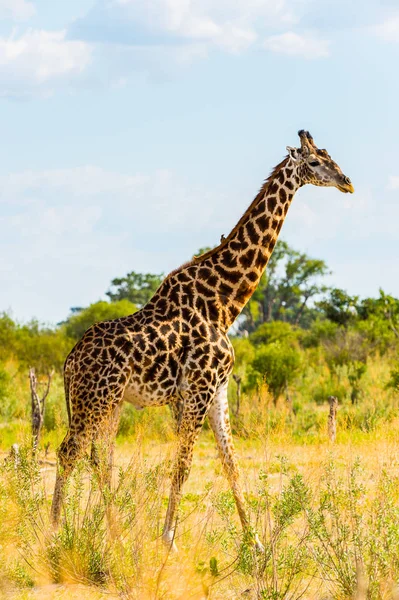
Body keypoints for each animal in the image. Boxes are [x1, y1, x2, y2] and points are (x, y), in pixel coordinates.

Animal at [51, 131, 354, 552]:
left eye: (331, 157)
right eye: (313, 163)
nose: (347, 182)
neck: (224, 302)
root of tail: (69, 362)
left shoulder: (217, 390)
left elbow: (231, 464)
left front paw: (256, 544)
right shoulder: (197, 388)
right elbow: (183, 465)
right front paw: (168, 540)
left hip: (110, 403)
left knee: (100, 458)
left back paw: (115, 537)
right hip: (93, 399)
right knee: (70, 452)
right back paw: (51, 535)